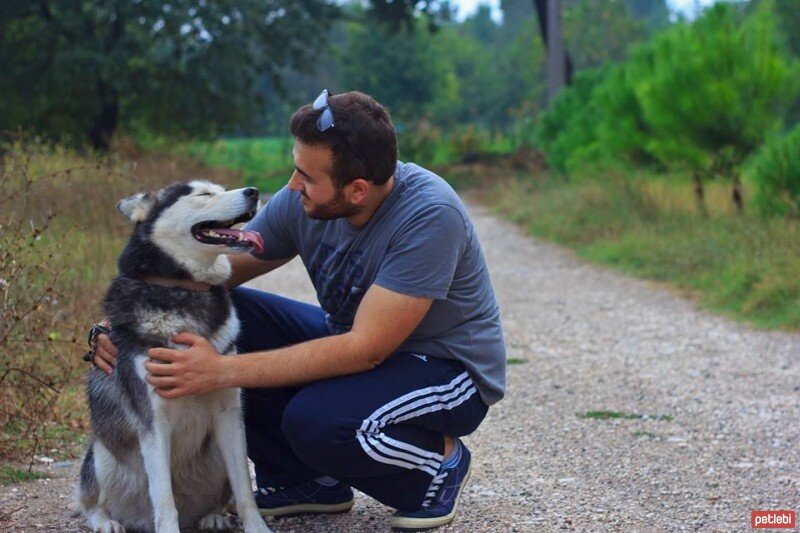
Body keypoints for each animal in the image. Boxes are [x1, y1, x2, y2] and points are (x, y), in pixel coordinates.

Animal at [78, 182, 272, 532]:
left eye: (221, 189)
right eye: (203, 194)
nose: (253, 191)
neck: (183, 289)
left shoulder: (229, 413)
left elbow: (244, 491)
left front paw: (257, 527)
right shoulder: (153, 421)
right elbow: (164, 497)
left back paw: (213, 515)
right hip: (102, 454)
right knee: (91, 501)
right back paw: (105, 521)